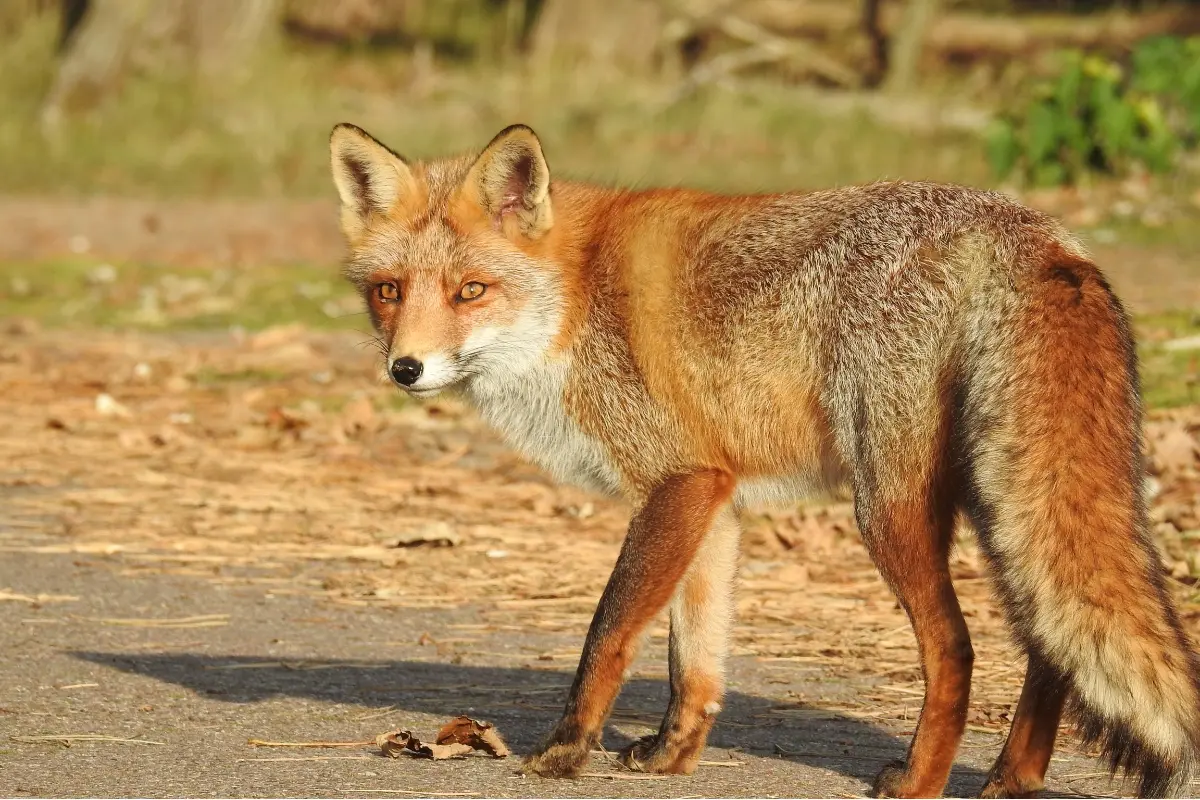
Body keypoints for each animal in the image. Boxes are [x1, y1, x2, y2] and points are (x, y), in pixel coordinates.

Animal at [326, 122, 1200, 796]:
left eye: (470, 291)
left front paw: (564, 750)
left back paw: (919, 780)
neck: (574, 299)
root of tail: (1029, 229)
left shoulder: (677, 482)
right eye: (389, 292)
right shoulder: (711, 495)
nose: (405, 369)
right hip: (1000, 502)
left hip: (890, 506)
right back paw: (1010, 780)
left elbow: (610, 630)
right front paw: (671, 756)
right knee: (1050, 646)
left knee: (958, 646)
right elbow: (694, 659)